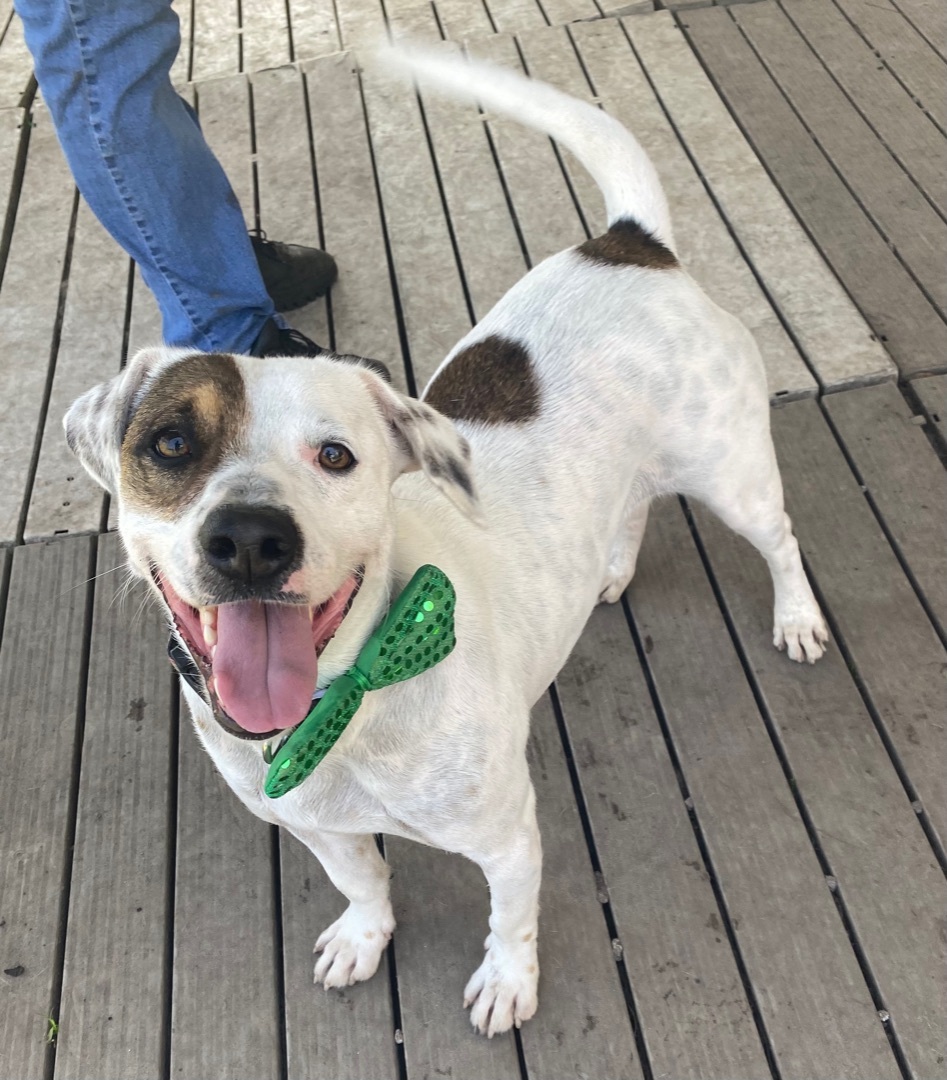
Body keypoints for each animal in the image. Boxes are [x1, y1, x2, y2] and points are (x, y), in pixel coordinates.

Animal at [62, 48, 824, 1036]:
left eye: (336, 455)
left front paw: (507, 984)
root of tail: (628, 244)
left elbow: (510, 917)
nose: (251, 539)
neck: (341, 707)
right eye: (169, 445)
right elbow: (364, 881)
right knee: (630, 506)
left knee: (779, 540)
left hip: (732, 474)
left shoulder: (508, 835)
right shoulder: (318, 826)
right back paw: (610, 571)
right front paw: (363, 937)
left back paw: (797, 618)